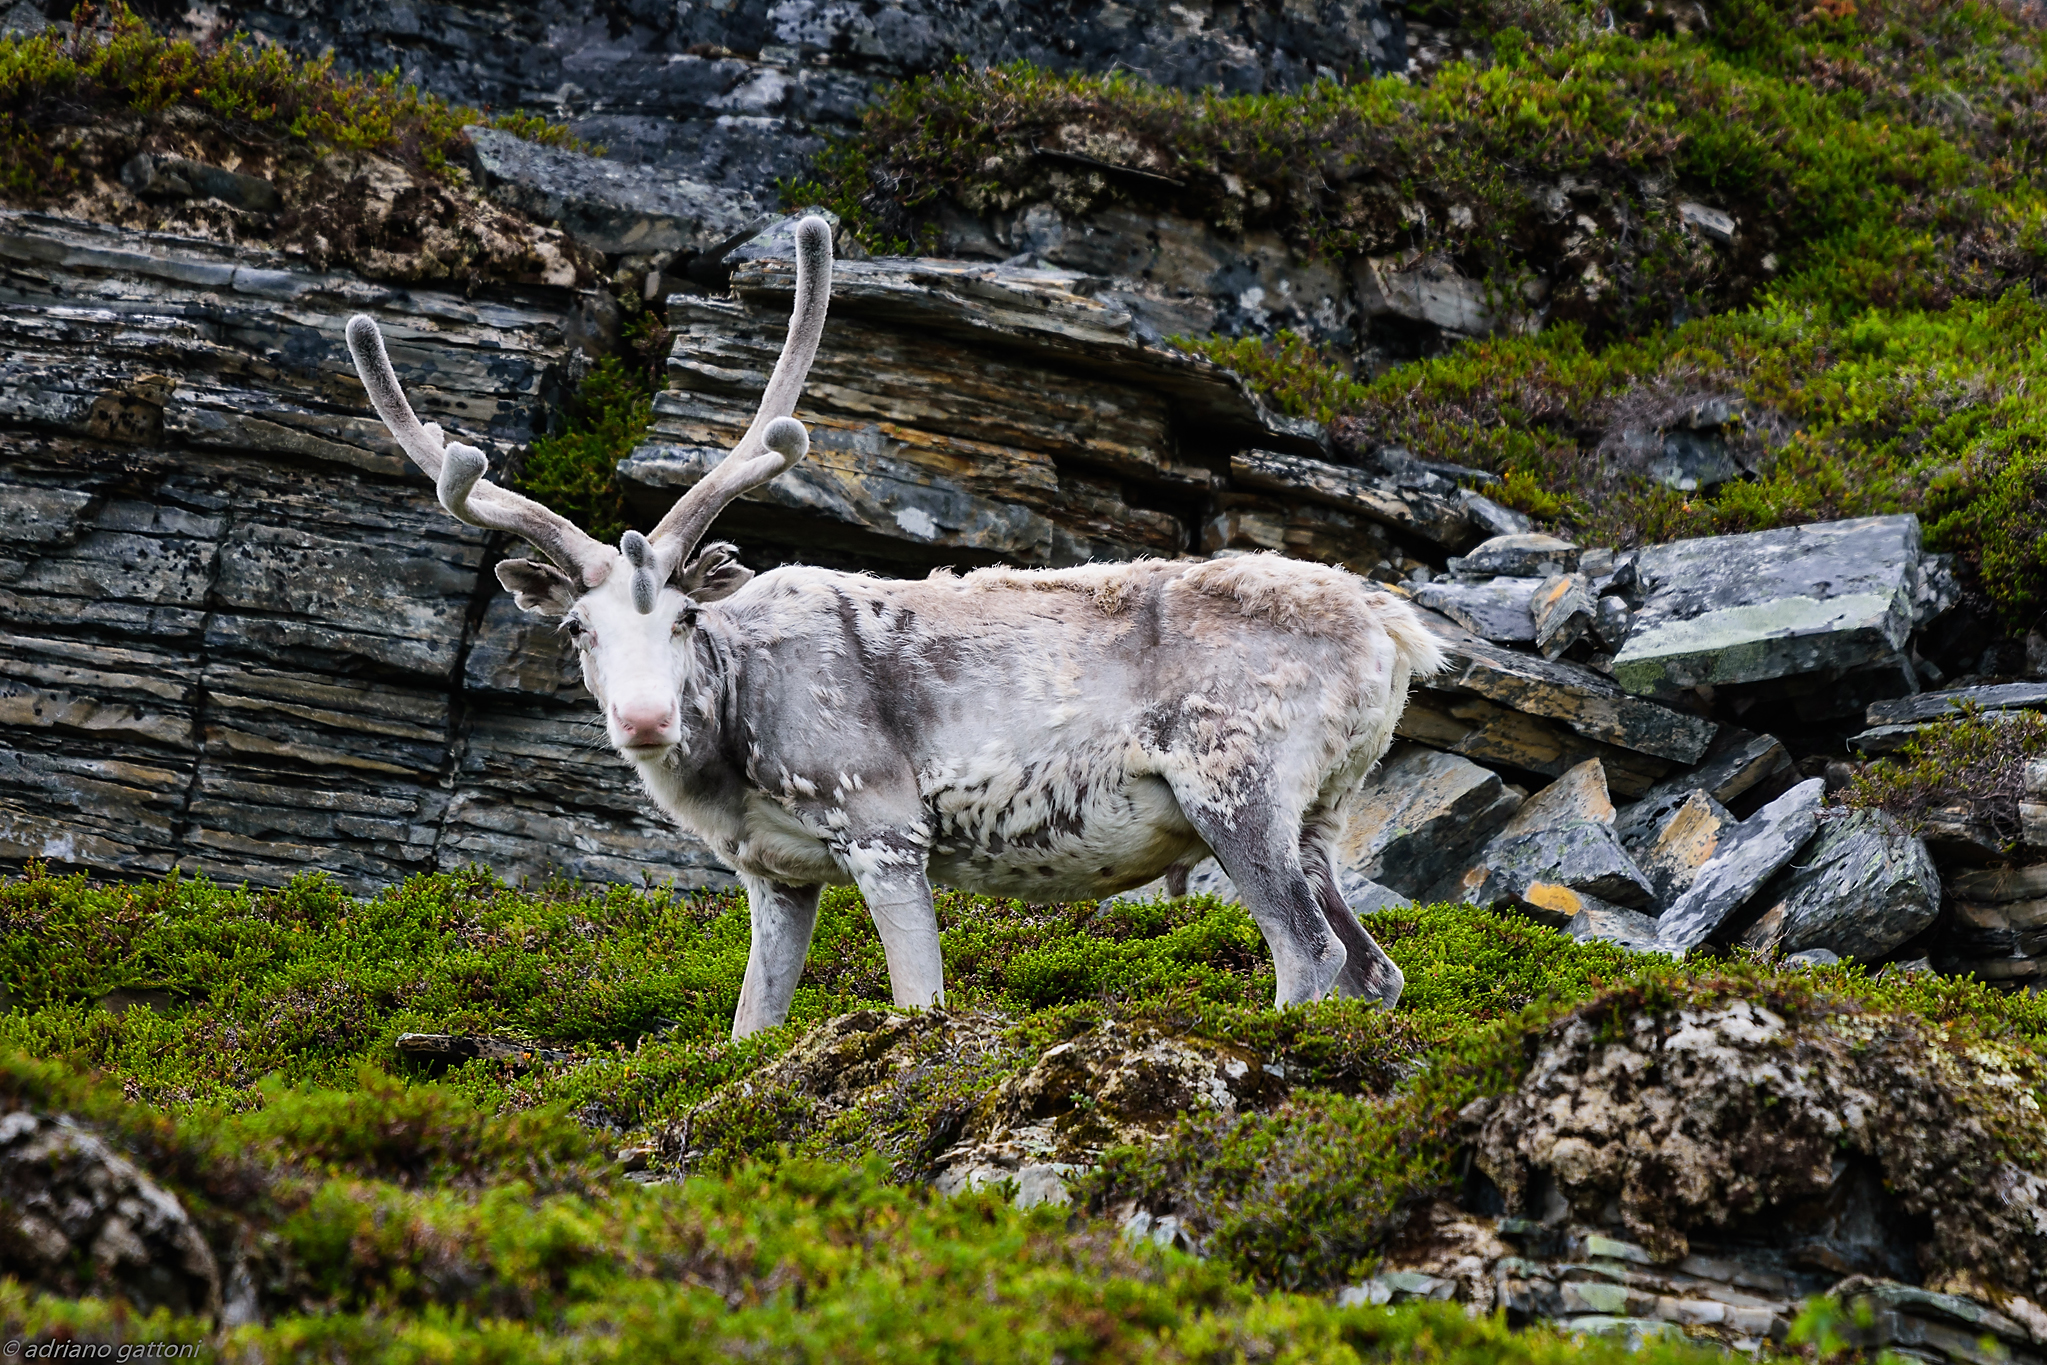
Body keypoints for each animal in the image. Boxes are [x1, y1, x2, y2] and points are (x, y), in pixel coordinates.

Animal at [345, 216, 1445, 1039]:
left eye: (688, 613)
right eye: (577, 626)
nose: (647, 720)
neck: (732, 757)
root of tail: (1398, 633)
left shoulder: (881, 823)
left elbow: (919, 1001)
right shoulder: (774, 871)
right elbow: (748, 1027)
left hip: (1236, 782)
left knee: (1310, 953)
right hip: (1322, 813)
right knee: (1376, 969)